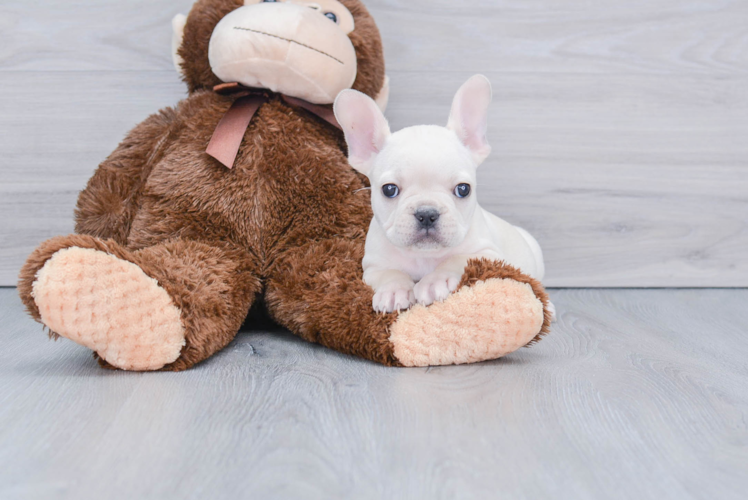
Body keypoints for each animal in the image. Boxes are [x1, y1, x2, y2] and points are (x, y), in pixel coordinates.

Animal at [334, 75, 548, 312]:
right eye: (389, 190)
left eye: (463, 189)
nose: (427, 214)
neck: (424, 256)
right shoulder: (373, 266)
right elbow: (389, 273)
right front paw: (393, 290)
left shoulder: (488, 253)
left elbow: (458, 258)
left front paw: (434, 282)